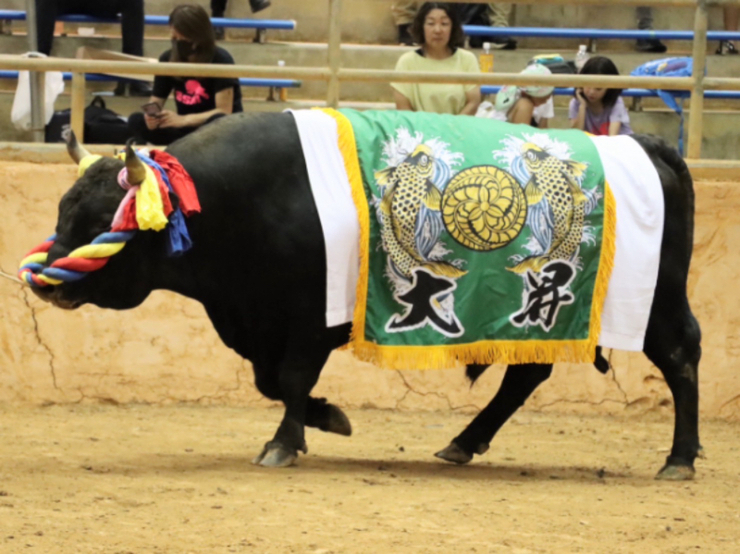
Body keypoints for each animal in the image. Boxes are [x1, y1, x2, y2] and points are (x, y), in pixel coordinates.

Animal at [34, 111, 704, 474]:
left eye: (100, 223)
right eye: (63, 209)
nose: (41, 279)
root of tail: (647, 147)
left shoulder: (311, 319)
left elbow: (289, 379)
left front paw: (289, 439)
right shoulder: (260, 321)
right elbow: (271, 381)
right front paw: (322, 419)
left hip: (656, 305)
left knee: (680, 357)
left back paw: (679, 457)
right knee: (526, 375)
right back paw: (464, 441)